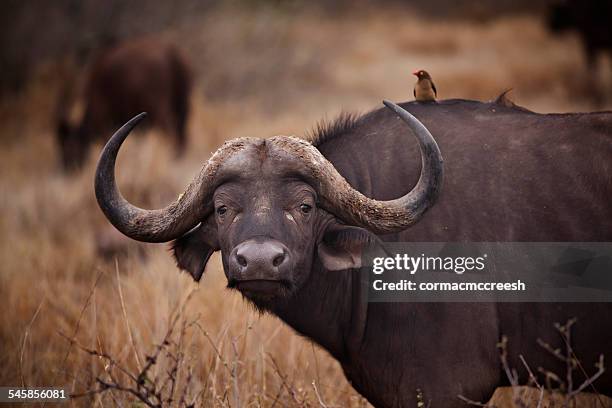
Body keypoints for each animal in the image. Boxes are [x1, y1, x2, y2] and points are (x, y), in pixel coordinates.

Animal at [57, 38, 192, 171]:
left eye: (68, 147)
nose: (65, 166)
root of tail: (172, 53)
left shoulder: (103, 120)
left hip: (159, 108)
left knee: (170, 132)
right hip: (183, 107)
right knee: (182, 135)